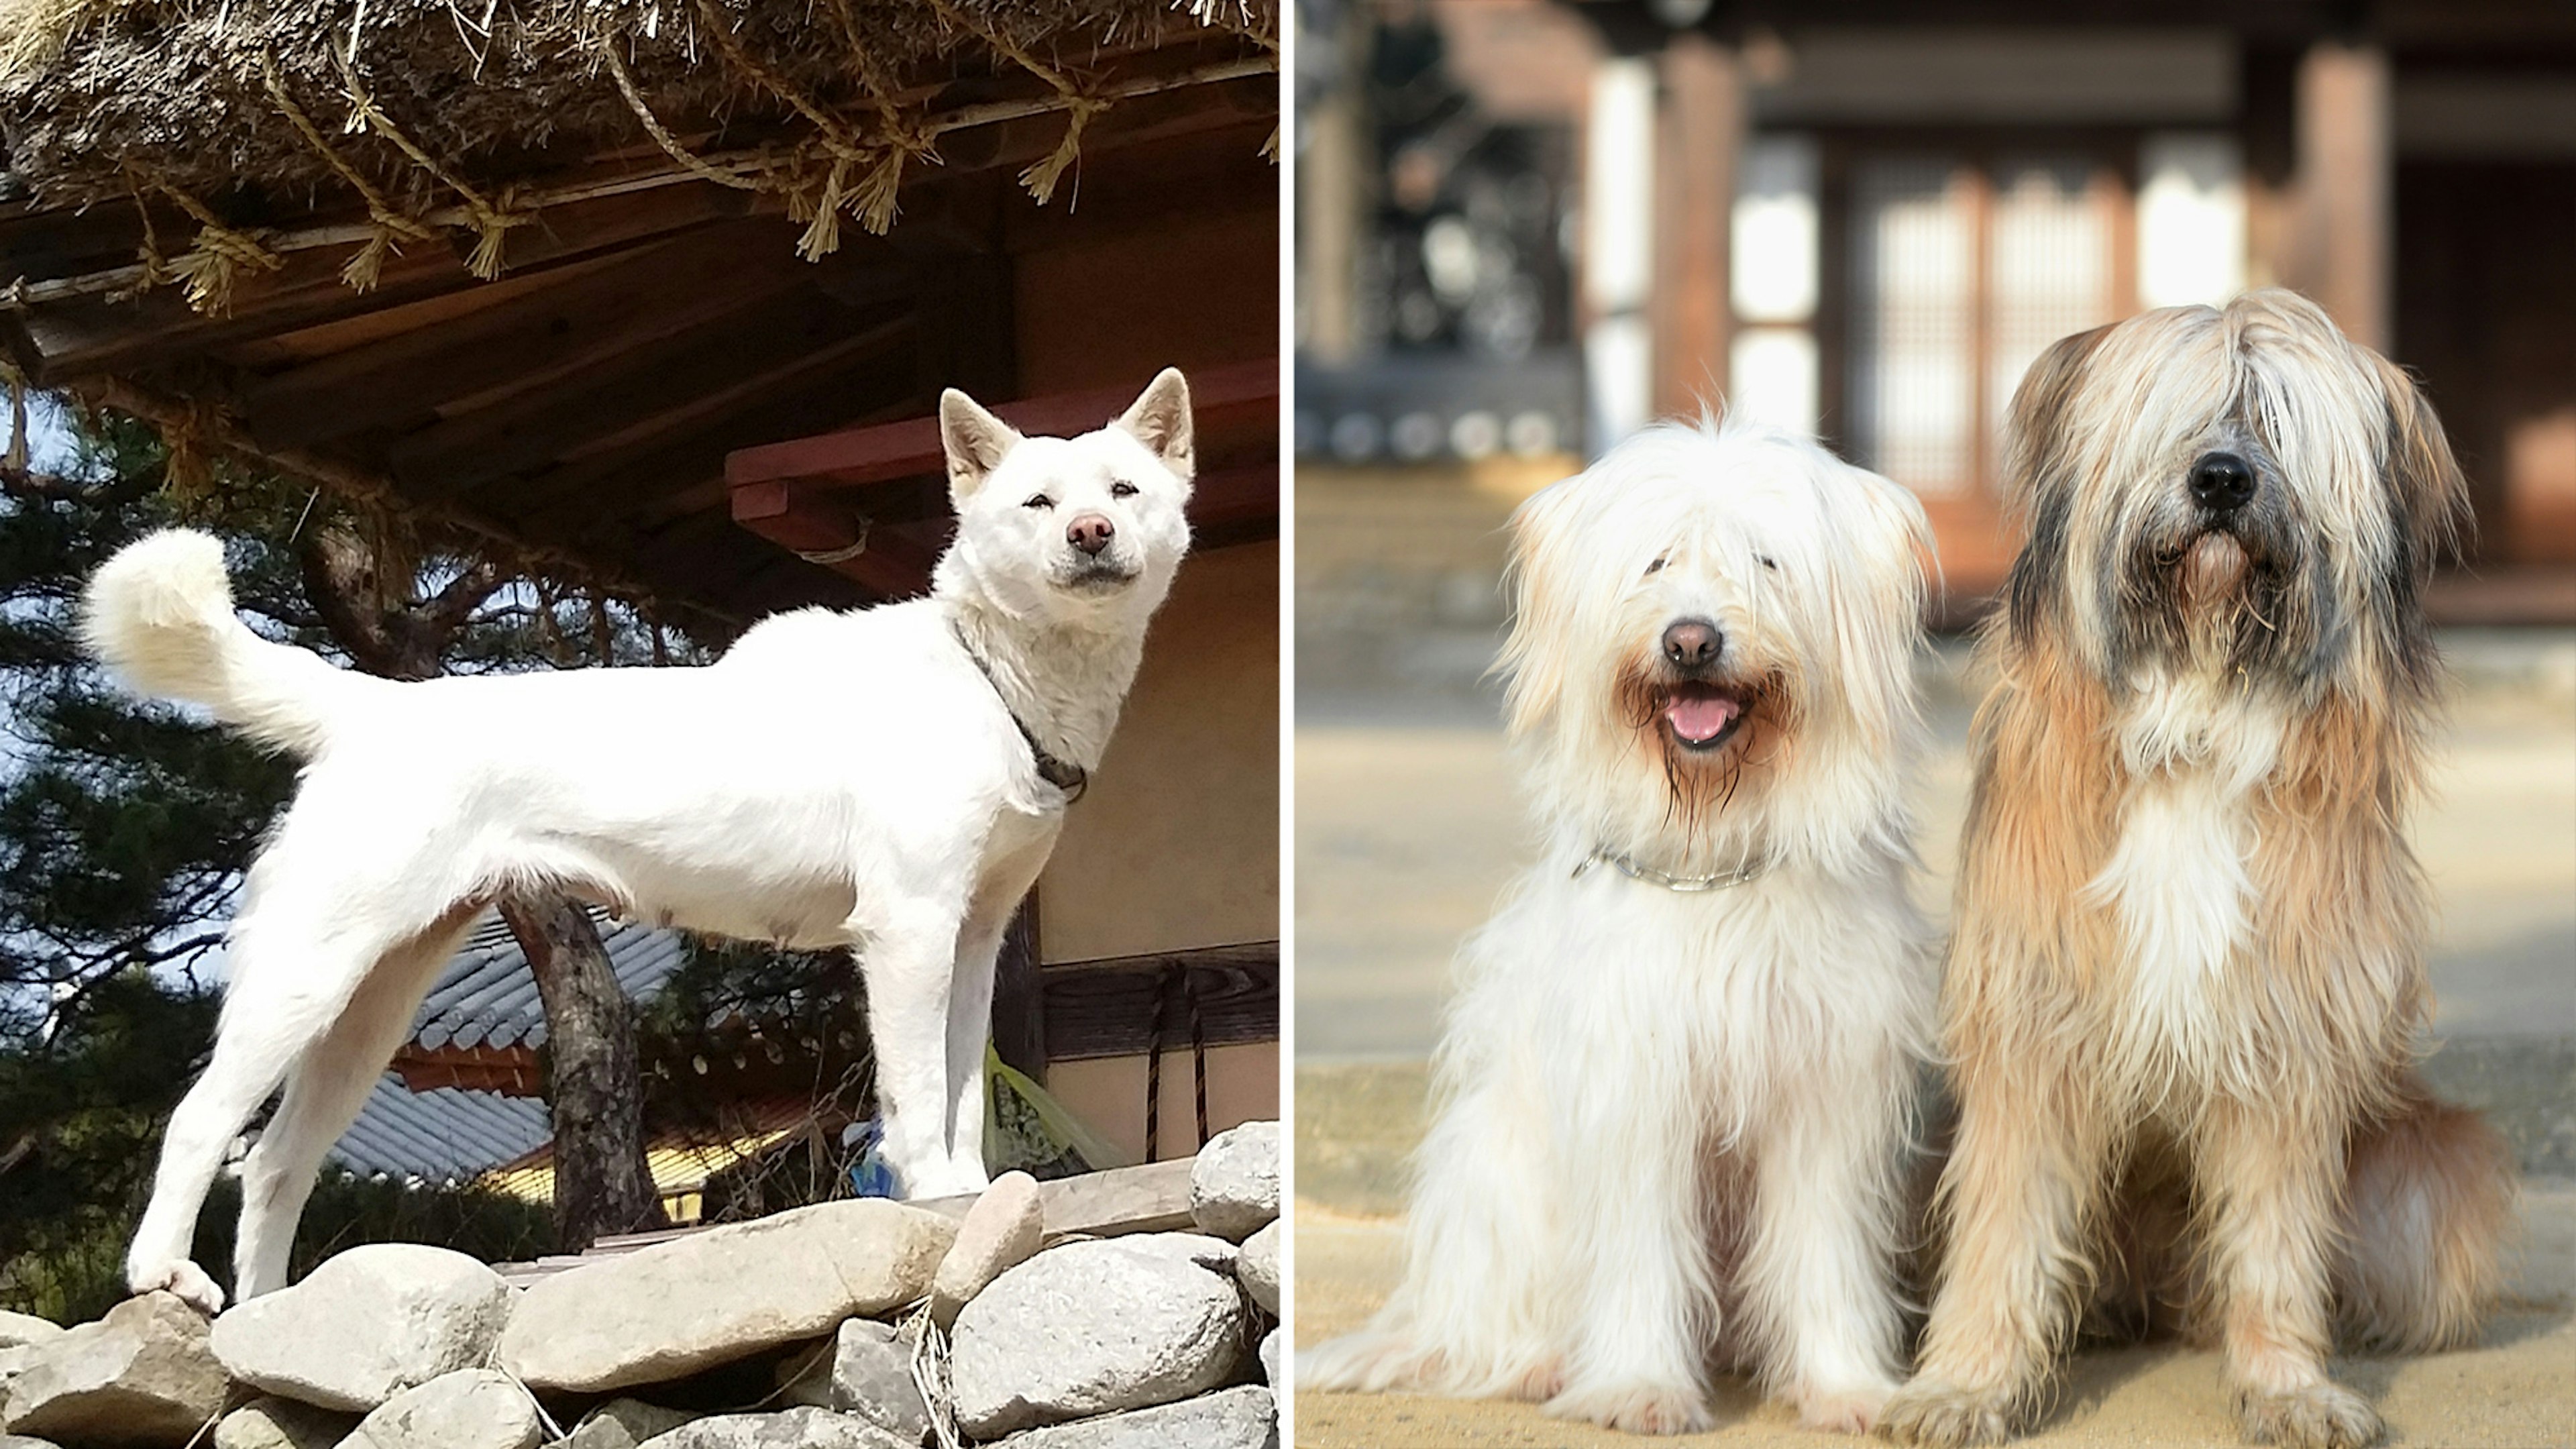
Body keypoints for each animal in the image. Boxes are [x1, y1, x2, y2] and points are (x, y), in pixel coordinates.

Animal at [85, 363, 1195, 1309]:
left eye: (1124, 489)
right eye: (1038, 505)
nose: (1091, 532)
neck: (988, 673)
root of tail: (373, 708)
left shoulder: (973, 939)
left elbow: (964, 1092)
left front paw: (968, 1190)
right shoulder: (910, 930)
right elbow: (921, 1093)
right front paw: (931, 1195)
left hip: (369, 1011)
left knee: (276, 1164)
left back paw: (266, 1316)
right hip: (306, 978)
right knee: (198, 1124)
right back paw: (163, 1279)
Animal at [1308, 417, 1937, 1433]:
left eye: (1766, 561)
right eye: (1656, 562)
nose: (1691, 641)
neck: (1714, 856)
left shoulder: (1825, 1090)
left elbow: (1824, 1248)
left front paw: (1846, 1387)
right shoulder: (1636, 1087)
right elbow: (1641, 1246)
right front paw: (1639, 1388)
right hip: (1504, 1182)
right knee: (1495, 1323)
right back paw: (1537, 1364)